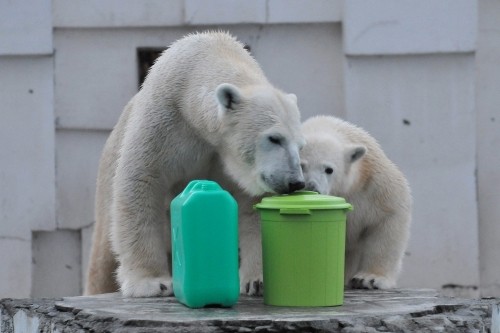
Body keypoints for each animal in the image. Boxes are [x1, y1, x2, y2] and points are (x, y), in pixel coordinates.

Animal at [85, 31, 304, 296]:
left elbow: (251, 206)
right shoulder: (164, 121)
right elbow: (142, 182)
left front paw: (256, 281)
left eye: (300, 145)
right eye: (274, 138)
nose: (295, 182)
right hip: (107, 174)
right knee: (103, 257)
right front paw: (152, 282)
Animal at [298, 116, 412, 288]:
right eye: (300, 166)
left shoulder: (372, 185)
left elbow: (387, 219)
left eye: (329, 169)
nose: (312, 187)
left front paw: (370, 278)